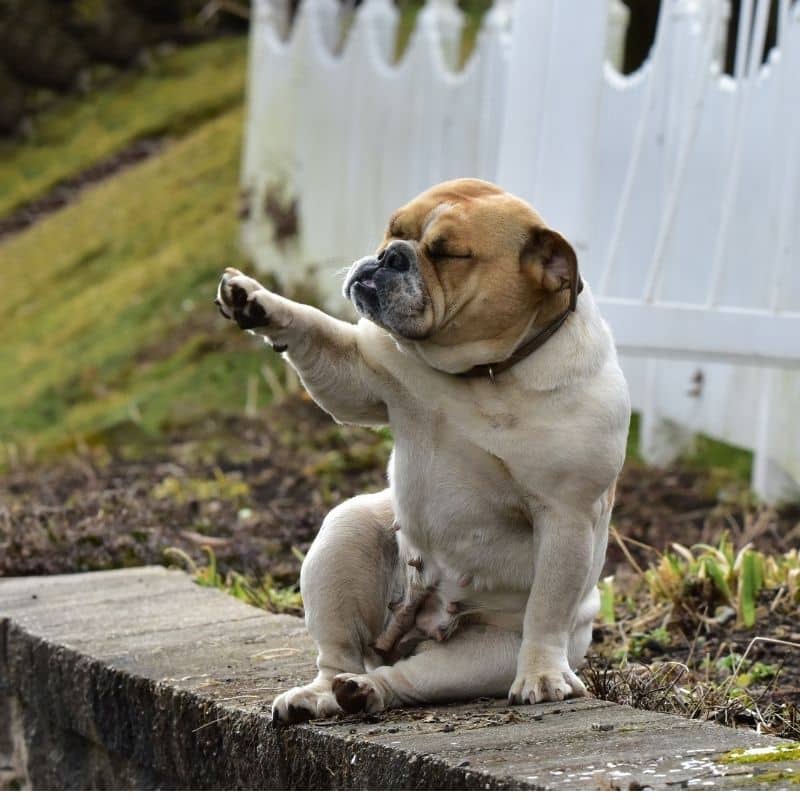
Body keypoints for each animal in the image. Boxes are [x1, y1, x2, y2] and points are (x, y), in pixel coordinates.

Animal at [216, 178, 628, 720]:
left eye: (449, 253)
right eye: (394, 230)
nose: (390, 256)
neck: (486, 374)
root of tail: (408, 634)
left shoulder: (567, 516)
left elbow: (548, 606)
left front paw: (542, 675)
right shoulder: (363, 371)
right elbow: (316, 333)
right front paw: (257, 300)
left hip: (486, 654)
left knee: (416, 676)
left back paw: (367, 690)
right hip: (346, 536)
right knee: (339, 652)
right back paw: (323, 694)